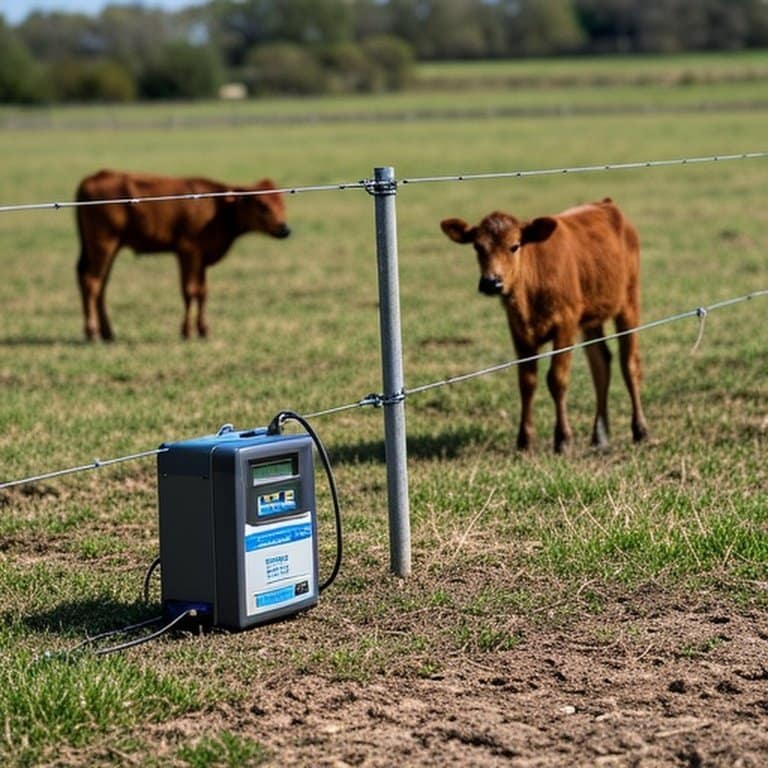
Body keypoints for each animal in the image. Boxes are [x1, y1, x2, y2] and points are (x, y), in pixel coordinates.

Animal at [75, 169, 291, 341]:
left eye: (282, 204)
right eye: (262, 205)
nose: (285, 229)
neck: (218, 208)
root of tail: (94, 177)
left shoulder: (201, 257)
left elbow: (202, 292)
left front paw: (203, 330)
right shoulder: (188, 251)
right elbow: (190, 291)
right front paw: (187, 331)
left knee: (100, 285)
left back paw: (107, 332)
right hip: (103, 244)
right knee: (91, 282)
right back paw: (92, 332)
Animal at [440, 198, 649, 453]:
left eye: (515, 246)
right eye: (478, 247)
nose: (491, 282)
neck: (527, 298)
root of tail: (605, 203)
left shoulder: (566, 324)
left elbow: (557, 379)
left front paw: (563, 439)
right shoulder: (518, 331)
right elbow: (527, 381)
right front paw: (525, 439)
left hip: (629, 302)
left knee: (629, 364)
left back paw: (640, 430)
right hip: (592, 316)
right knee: (600, 363)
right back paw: (599, 435)